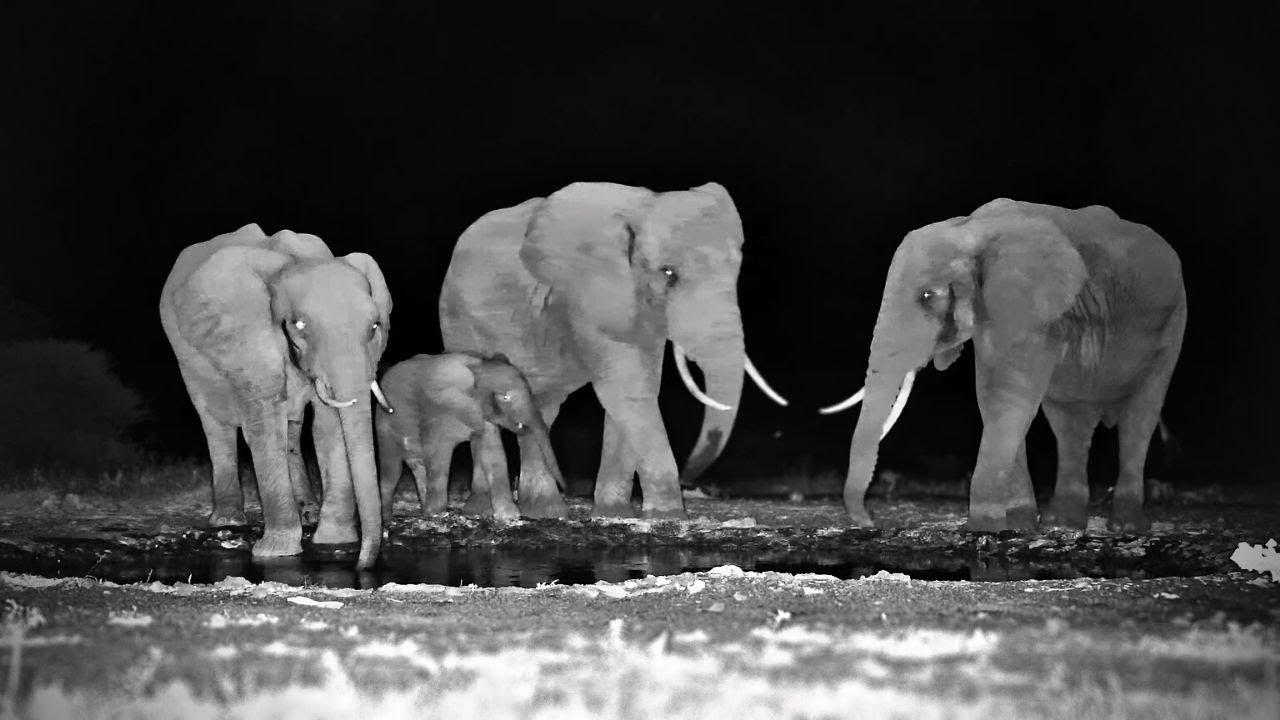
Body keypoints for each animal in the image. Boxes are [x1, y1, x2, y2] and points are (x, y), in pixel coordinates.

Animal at [159, 222, 394, 569]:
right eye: (299, 324)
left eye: (375, 326)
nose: (362, 566)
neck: (291, 263)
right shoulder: (248, 340)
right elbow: (263, 425)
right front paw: (277, 552)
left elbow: (327, 426)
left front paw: (333, 541)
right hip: (187, 357)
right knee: (216, 422)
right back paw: (228, 521)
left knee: (291, 429)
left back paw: (308, 513)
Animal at [375, 352, 565, 522]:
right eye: (506, 397)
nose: (565, 488)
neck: (477, 367)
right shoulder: (439, 411)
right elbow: (438, 454)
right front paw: (437, 514)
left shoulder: (481, 412)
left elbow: (492, 453)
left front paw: (510, 517)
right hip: (385, 428)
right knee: (391, 471)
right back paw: (388, 519)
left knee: (419, 468)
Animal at [438, 181, 789, 520]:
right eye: (668, 274)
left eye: (736, 270)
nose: (692, 477)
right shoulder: (589, 295)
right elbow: (627, 391)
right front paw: (668, 516)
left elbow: (634, 390)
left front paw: (614, 514)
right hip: (458, 319)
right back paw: (492, 510)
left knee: (541, 404)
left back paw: (543, 512)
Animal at [824, 198, 1186, 534]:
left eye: (927, 296)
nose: (869, 522)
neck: (970, 229)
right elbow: (992, 397)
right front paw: (1019, 527)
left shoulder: (1031, 312)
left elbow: (1007, 399)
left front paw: (983, 528)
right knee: (1071, 423)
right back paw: (1063, 523)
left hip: (1173, 327)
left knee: (1140, 416)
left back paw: (1126, 527)